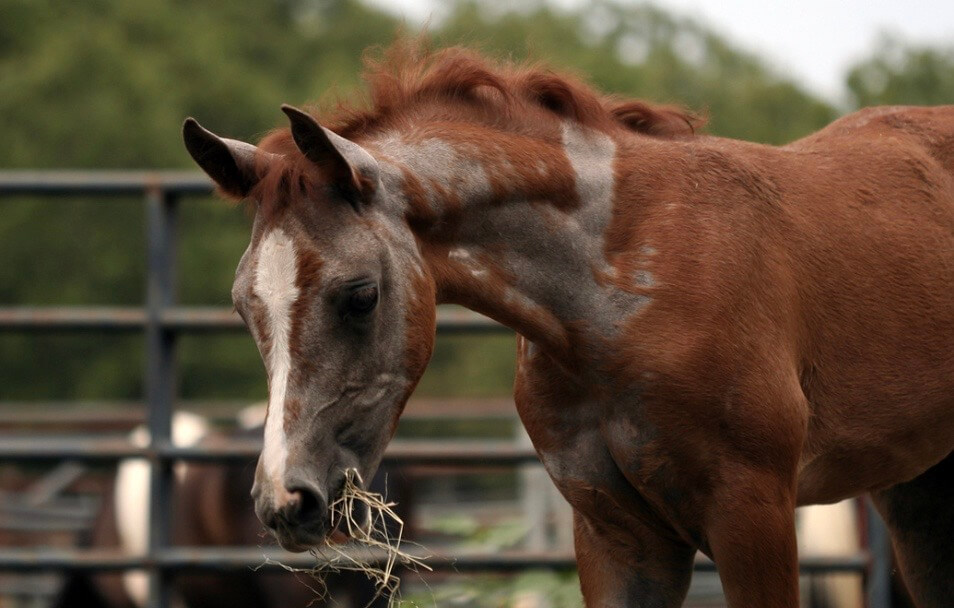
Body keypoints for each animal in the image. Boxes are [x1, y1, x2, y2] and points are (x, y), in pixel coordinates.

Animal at [182, 41, 954, 607]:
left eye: (360, 294)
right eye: (243, 305)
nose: (285, 501)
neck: (620, 289)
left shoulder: (753, 512)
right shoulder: (616, 534)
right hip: (915, 493)